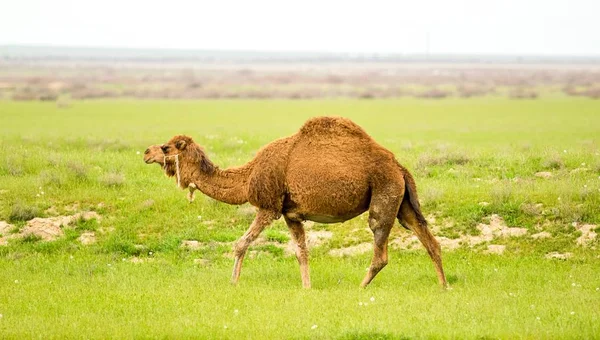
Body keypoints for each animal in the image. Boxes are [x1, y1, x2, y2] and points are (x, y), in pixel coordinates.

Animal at [144, 115, 446, 288]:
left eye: (166, 147)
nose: (146, 152)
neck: (248, 176)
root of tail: (399, 167)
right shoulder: (291, 214)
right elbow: (302, 252)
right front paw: (306, 288)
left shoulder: (269, 206)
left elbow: (241, 244)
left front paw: (233, 282)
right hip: (402, 200)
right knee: (427, 238)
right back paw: (444, 286)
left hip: (384, 192)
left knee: (380, 243)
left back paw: (360, 287)